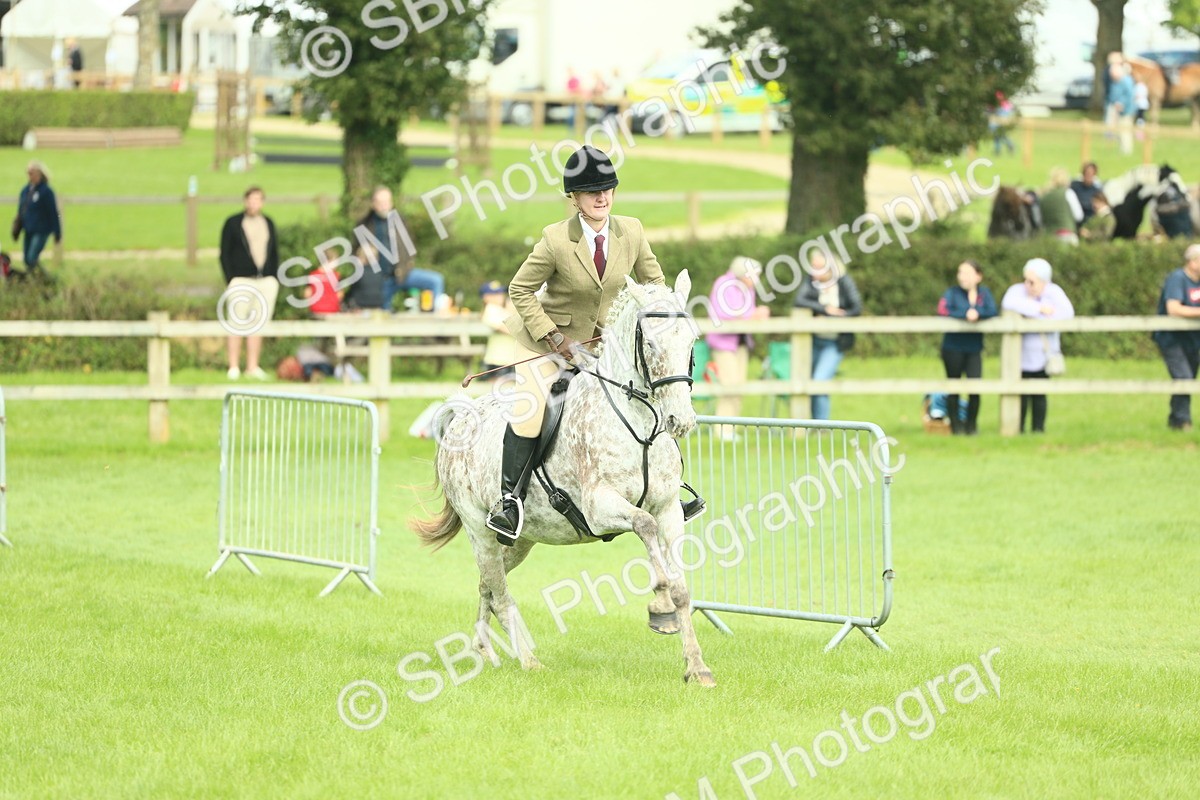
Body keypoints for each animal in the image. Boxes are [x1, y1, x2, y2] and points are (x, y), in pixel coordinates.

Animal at [411, 272, 716, 686]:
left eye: (691, 340)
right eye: (651, 343)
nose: (680, 421)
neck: (640, 425)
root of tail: (463, 416)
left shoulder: (669, 509)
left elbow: (682, 584)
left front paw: (697, 667)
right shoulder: (600, 508)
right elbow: (644, 525)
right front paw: (661, 605)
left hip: (520, 540)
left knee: (488, 584)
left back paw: (483, 650)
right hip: (479, 530)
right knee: (499, 590)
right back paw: (527, 660)